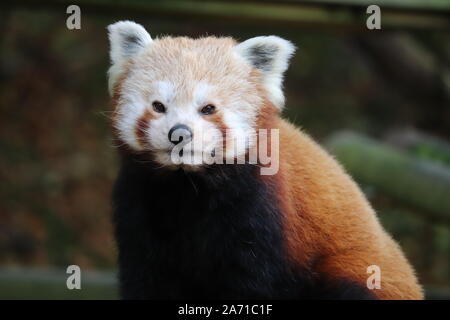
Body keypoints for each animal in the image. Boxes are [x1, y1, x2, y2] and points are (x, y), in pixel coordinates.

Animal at [107, 20, 424, 300]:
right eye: (159, 106)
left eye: (208, 108)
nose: (180, 133)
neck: (187, 187)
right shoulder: (139, 205)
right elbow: (147, 278)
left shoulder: (265, 211)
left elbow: (254, 282)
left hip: (358, 271)